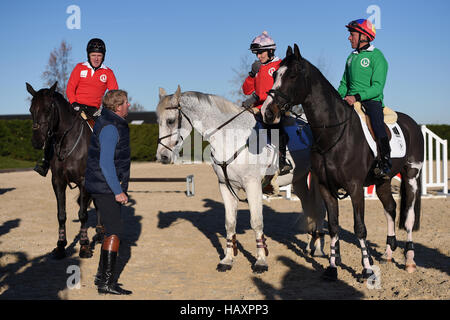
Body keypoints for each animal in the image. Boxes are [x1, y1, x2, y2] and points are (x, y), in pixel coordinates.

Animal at [27, 81, 102, 258]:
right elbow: (61, 214)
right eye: (31, 110)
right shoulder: (58, 182)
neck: (68, 141)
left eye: (48, 109)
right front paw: (60, 245)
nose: (37, 141)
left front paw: (84, 246)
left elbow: (83, 214)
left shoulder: (84, 182)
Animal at [262, 44, 424, 280]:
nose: (267, 111)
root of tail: (412, 123)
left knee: (409, 216)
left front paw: (366, 268)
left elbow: (360, 228)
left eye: (291, 75)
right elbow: (333, 227)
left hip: (411, 176)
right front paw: (332, 267)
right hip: (383, 182)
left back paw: (410, 260)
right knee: (390, 208)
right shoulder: (326, 188)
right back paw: (387, 253)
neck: (334, 133)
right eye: (274, 75)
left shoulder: (355, 188)